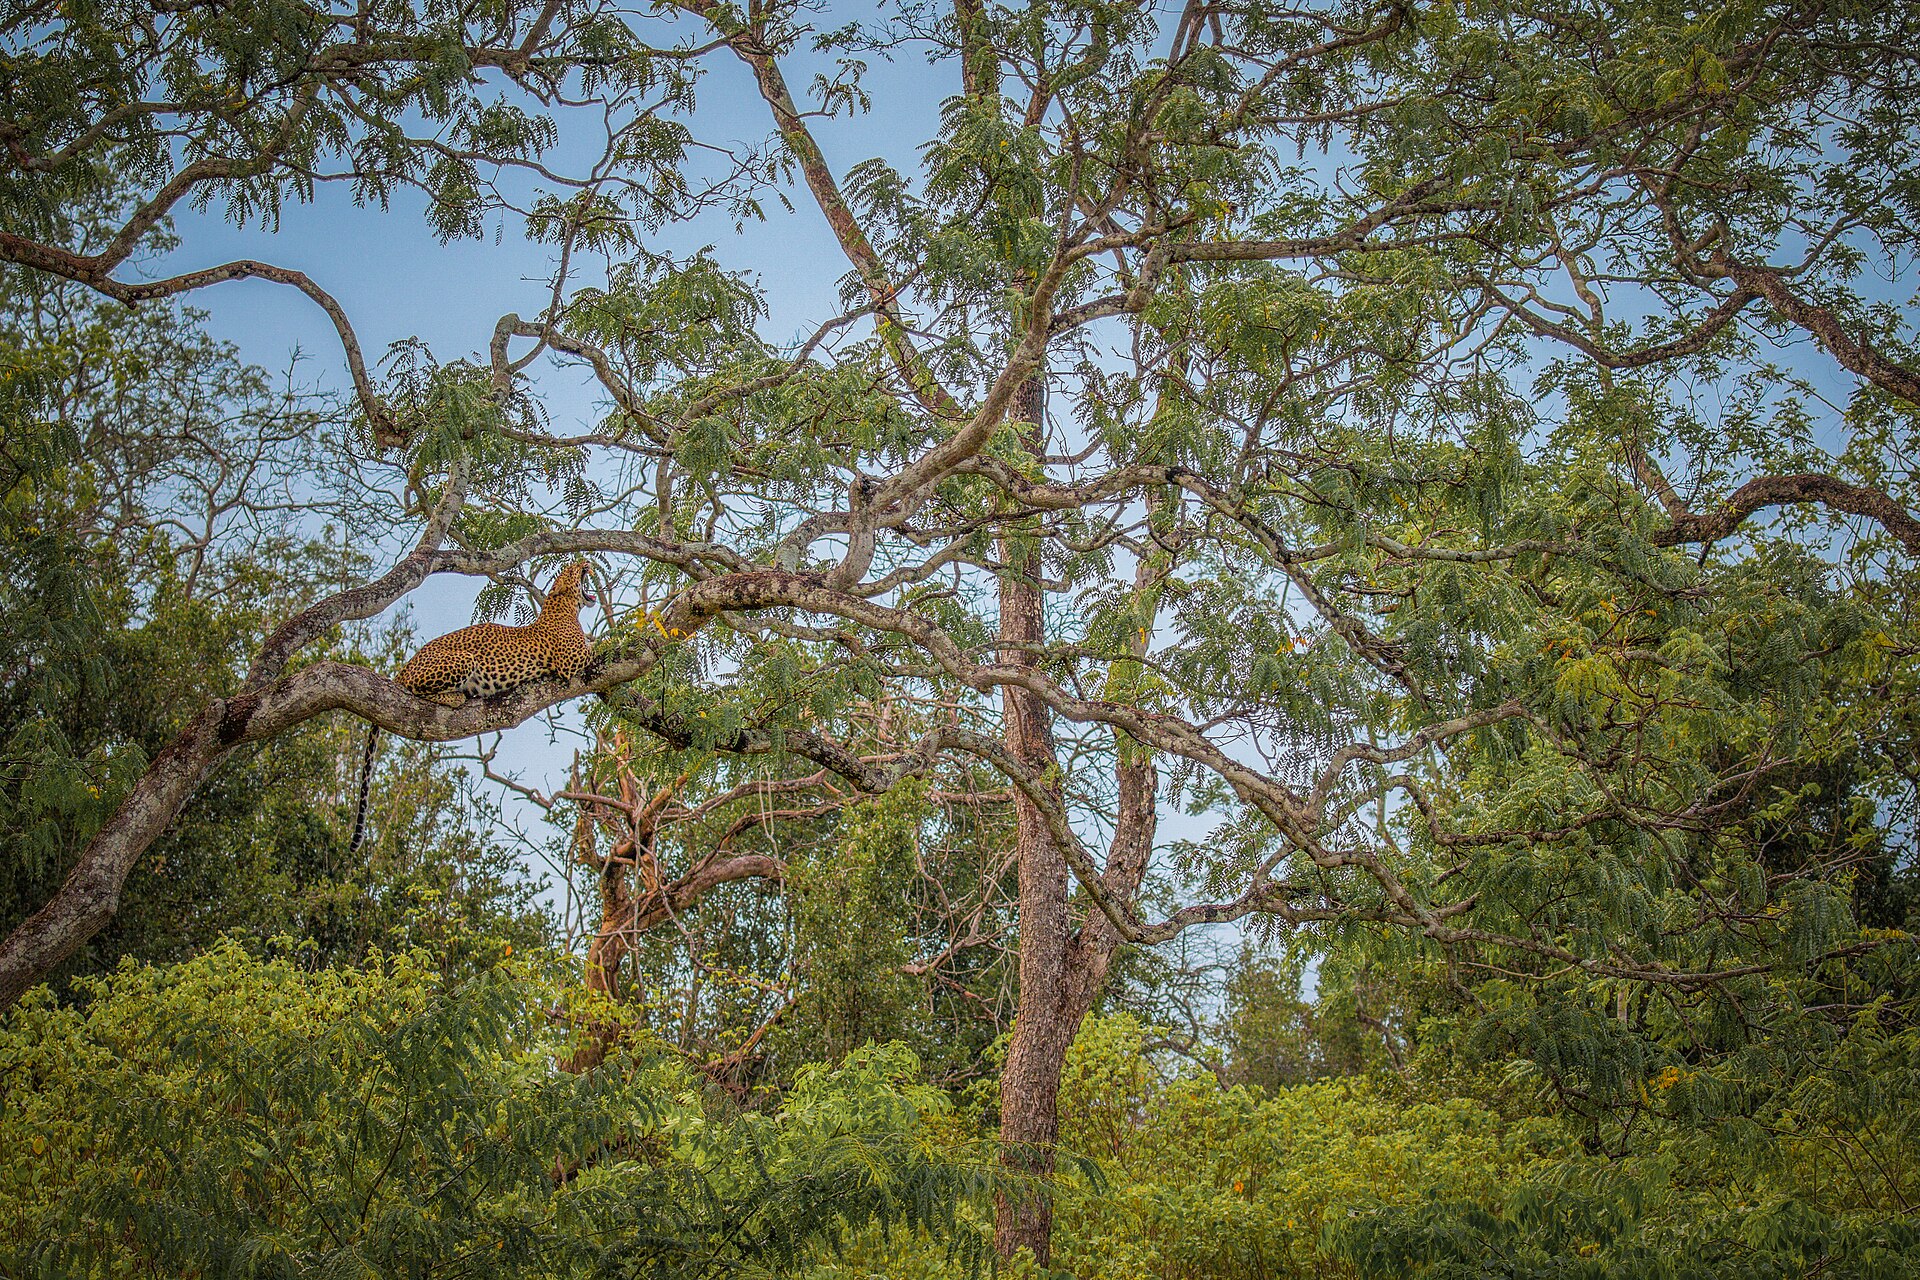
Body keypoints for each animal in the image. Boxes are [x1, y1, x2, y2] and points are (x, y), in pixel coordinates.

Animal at [350, 560, 597, 852]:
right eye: (570, 569)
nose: (585, 562)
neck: (564, 607)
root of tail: (404, 667)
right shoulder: (570, 659)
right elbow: (600, 642)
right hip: (462, 660)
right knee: (414, 689)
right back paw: (456, 697)